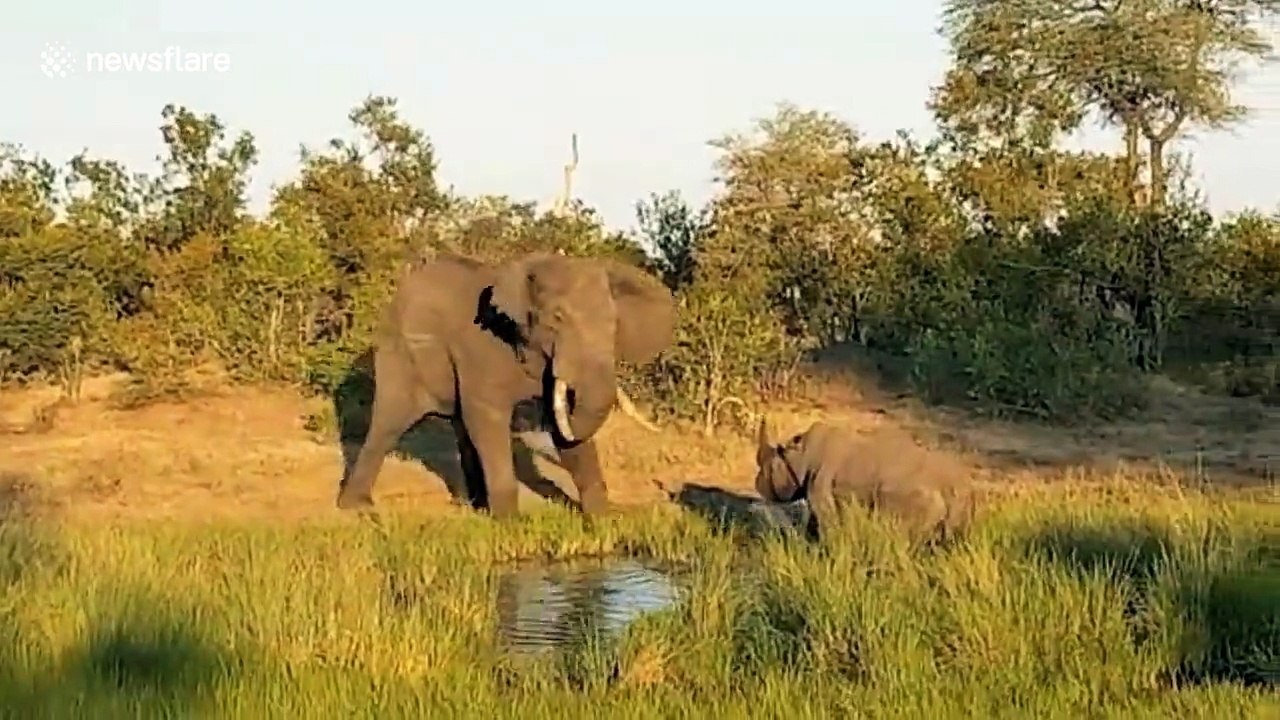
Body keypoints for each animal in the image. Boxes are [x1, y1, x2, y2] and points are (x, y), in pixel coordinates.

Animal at [336, 251, 675, 518]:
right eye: (557, 319)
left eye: (614, 325)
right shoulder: (480, 345)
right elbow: (488, 417)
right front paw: (511, 523)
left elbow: (561, 425)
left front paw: (603, 521)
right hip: (400, 351)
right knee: (389, 422)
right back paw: (357, 508)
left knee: (460, 427)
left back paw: (474, 506)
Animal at [753, 416, 976, 546]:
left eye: (766, 467)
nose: (757, 483)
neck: (801, 455)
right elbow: (815, 522)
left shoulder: (820, 488)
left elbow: (826, 523)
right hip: (961, 499)